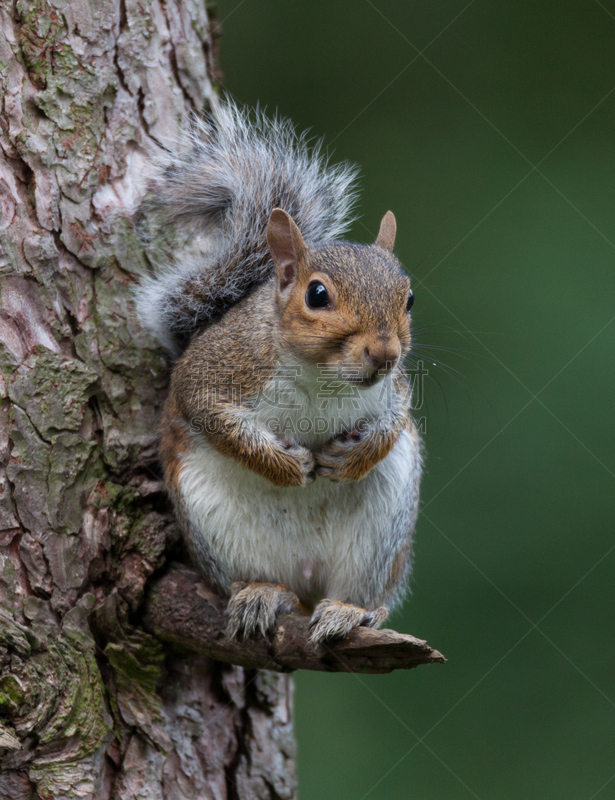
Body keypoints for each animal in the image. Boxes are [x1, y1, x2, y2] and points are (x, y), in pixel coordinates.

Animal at [136, 103, 424, 648]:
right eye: (317, 295)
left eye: (409, 298)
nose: (385, 353)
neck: (323, 377)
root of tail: (306, 579)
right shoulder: (217, 370)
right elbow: (211, 415)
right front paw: (286, 466)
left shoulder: (393, 388)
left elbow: (397, 418)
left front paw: (353, 457)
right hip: (214, 526)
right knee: (264, 584)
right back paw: (262, 593)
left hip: (381, 533)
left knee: (358, 592)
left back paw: (349, 612)